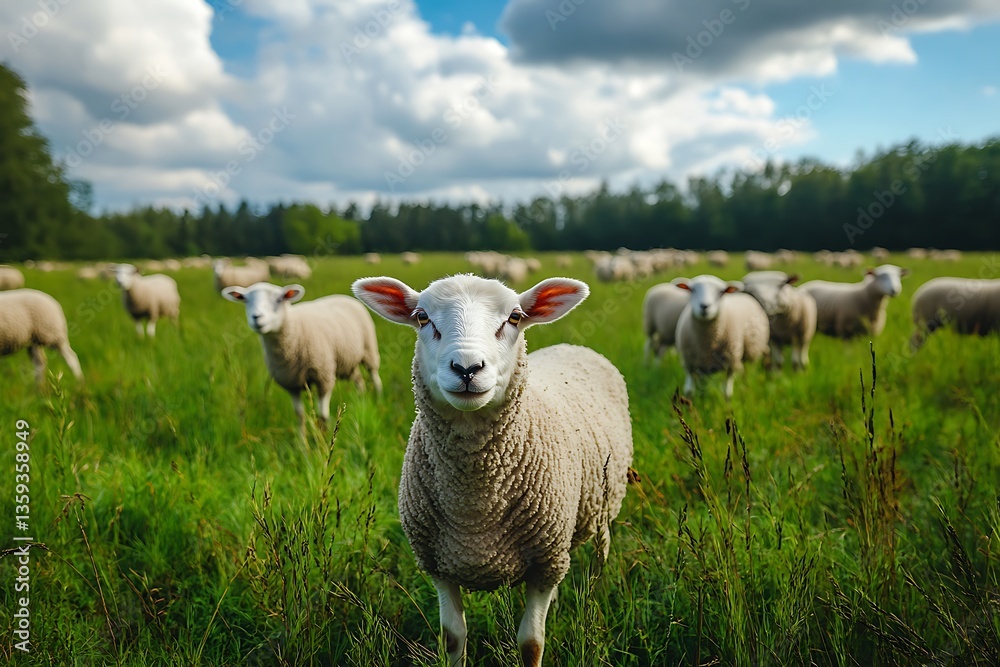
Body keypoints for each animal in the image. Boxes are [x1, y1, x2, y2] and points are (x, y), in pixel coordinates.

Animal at [223, 282, 382, 427]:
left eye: (279, 299)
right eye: (245, 299)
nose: (257, 317)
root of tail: (343, 296)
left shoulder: (324, 378)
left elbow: (322, 416)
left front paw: (323, 439)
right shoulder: (291, 384)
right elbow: (300, 416)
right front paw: (302, 441)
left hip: (369, 350)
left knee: (374, 376)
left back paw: (378, 399)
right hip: (347, 362)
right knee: (359, 380)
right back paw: (362, 400)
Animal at [352, 274, 633, 667]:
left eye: (514, 317)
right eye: (422, 317)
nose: (467, 368)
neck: (475, 509)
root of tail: (573, 345)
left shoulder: (546, 561)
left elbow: (531, 643)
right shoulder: (438, 564)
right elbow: (453, 637)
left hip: (603, 500)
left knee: (601, 546)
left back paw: (595, 586)